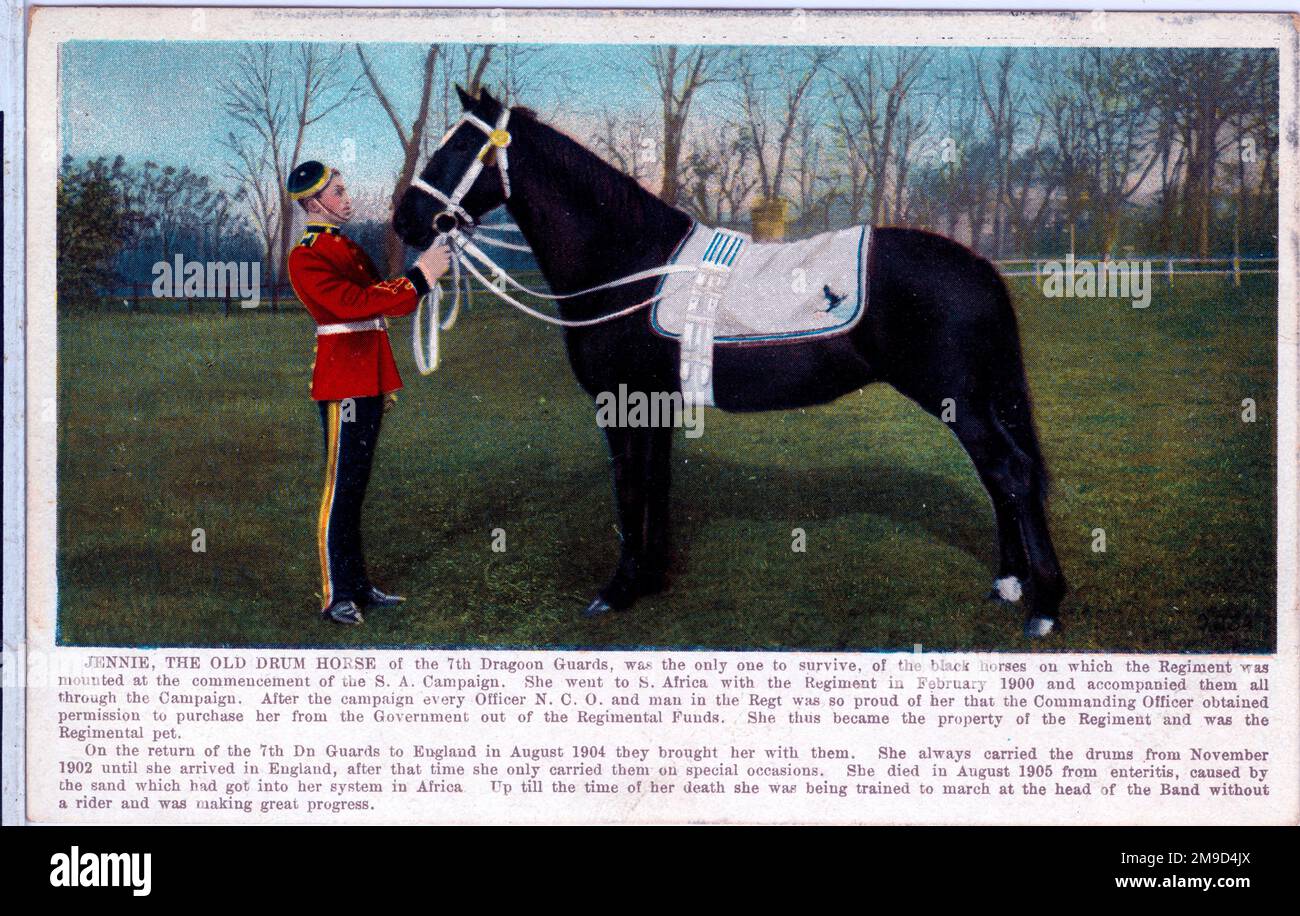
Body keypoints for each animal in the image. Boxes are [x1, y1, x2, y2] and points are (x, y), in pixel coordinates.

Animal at [392, 89, 1066, 639]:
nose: (404, 220)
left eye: (460, 147)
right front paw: (651, 580)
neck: (632, 262)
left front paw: (617, 592)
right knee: (1000, 476)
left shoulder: (621, 403)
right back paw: (1008, 584)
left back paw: (1045, 606)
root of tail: (978, 267)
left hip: (959, 399)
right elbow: (655, 484)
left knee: (1010, 472)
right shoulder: (653, 405)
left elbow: (629, 487)